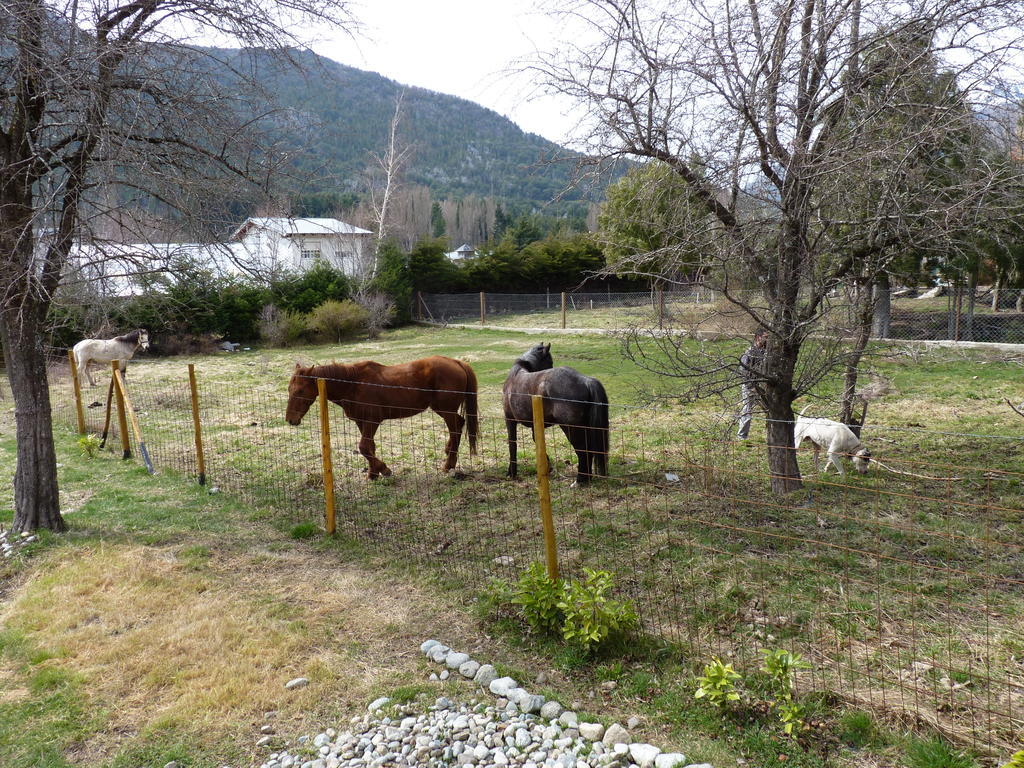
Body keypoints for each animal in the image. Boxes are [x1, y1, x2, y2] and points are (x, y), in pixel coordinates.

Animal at [286, 358, 477, 479]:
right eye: (289, 389)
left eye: (300, 390)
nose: (290, 419)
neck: (353, 384)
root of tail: (456, 362)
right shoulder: (362, 422)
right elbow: (370, 447)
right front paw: (373, 473)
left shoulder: (372, 421)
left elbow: (363, 447)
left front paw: (383, 469)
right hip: (445, 410)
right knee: (459, 424)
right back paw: (448, 452)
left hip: (445, 410)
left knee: (456, 429)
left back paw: (449, 464)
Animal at [501, 344, 606, 483]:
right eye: (549, 362)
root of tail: (585, 380)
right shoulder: (535, 426)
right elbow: (537, 442)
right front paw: (547, 467)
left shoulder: (510, 420)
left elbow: (512, 444)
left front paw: (511, 472)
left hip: (571, 428)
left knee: (582, 450)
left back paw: (580, 480)